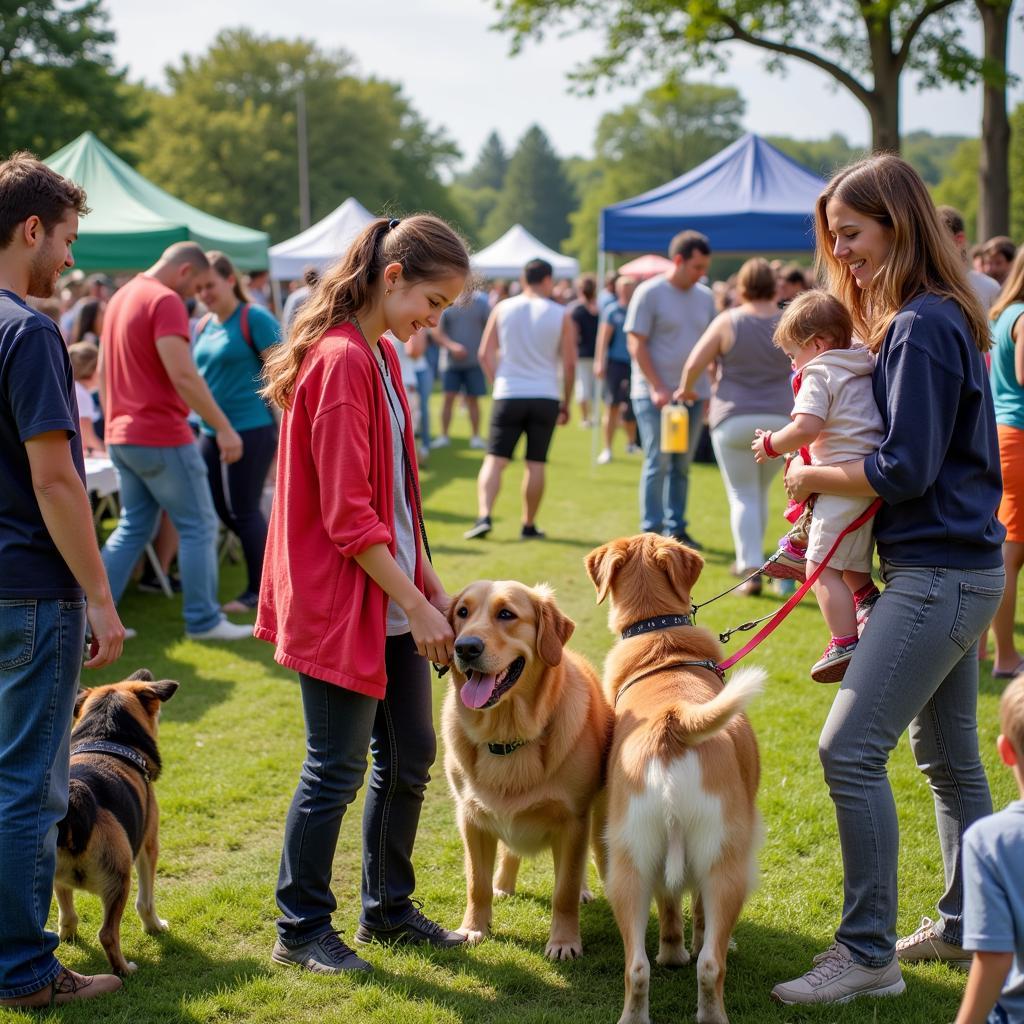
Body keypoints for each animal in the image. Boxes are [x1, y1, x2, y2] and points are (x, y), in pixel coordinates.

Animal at [55, 667, 178, 970]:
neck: (103, 737)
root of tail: (77, 798)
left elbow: (67, 913)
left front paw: (68, 937)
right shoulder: (149, 845)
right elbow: (145, 901)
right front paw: (155, 926)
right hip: (119, 879)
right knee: (108, 934)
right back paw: (124, 969)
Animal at [444, 585, 610, 958]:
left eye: (506, 614)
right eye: (462, 612)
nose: (465, 647)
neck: (507, 736)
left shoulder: (574, 820)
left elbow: (564, 889)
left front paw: (564, 941)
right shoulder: (470, 818)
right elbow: (476, 883)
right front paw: (474, 928)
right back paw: (503, 884)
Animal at [589, 536, 765, 1024]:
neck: (661, 642)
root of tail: (673, 724)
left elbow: (669, 907)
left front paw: (670, 954)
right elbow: (701, 918)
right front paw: (686, 950)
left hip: (629, 860)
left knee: (636, 966)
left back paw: (636, 1011)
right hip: (727, 859)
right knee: (711, 961)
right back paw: (712, 1010)